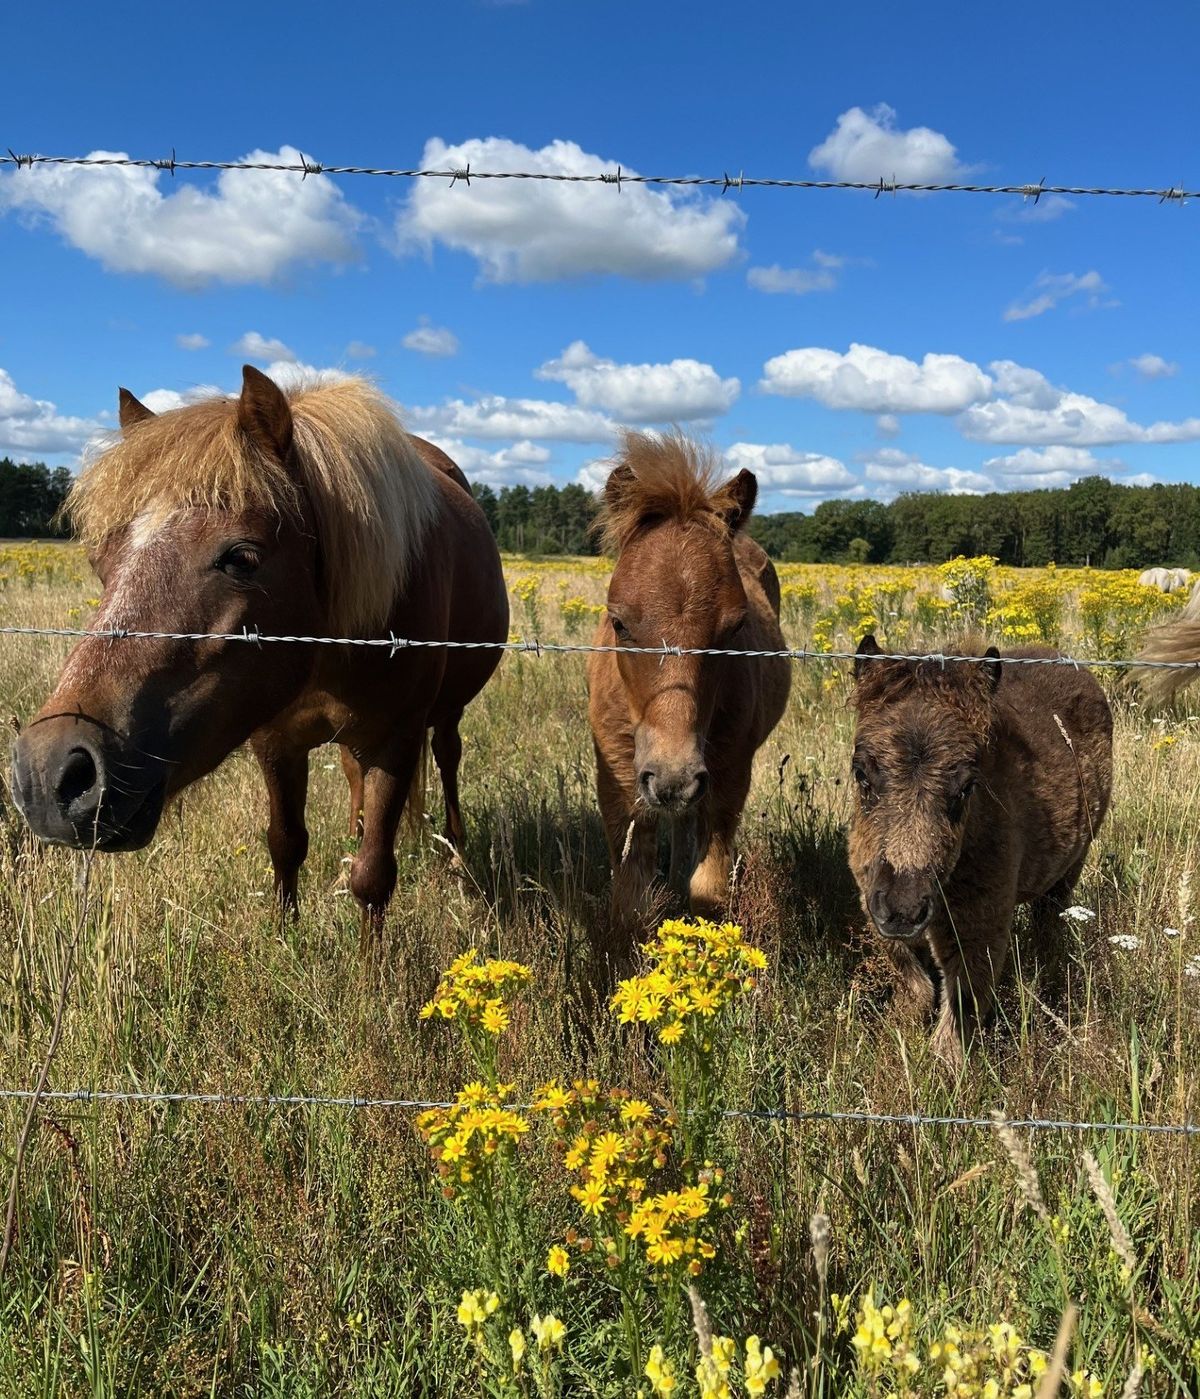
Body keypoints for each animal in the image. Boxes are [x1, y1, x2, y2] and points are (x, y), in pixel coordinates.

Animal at [11, 367, 509, 936]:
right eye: (100, 560)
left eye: (242, 557)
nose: (47, 773)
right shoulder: (275, 742)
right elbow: (285, 843)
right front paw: (286, 936)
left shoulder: (396, 743)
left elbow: (373, 876)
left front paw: (370, 959)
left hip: (448, 714)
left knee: (448, 757)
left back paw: (455, 851)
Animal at [586, 431, 791, 951]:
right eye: (619, 623)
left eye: (734, 628)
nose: (673, 777)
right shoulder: (618, 781)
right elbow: (629, 900)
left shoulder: (730, 776)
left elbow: (709, 891)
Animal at [849, 636, 1112, 1064]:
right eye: (861, 773)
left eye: (967, 787)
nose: (904, 910)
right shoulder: (872, 900)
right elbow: (914, 983)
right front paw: (896, 1032)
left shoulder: (978, 928)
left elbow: (959, 1015)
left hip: (1070, 868)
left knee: (1048, 923)